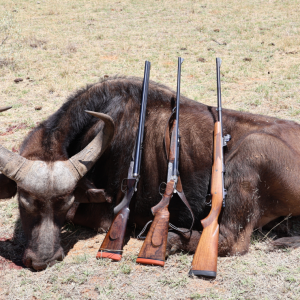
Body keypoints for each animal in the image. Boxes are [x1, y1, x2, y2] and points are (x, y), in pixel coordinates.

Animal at [0, 77, 300, 270]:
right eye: (24, 201)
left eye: (67, 202)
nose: (44, 260)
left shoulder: (102, 215)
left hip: (253, 147)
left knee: (231, 241)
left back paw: (170, 241)